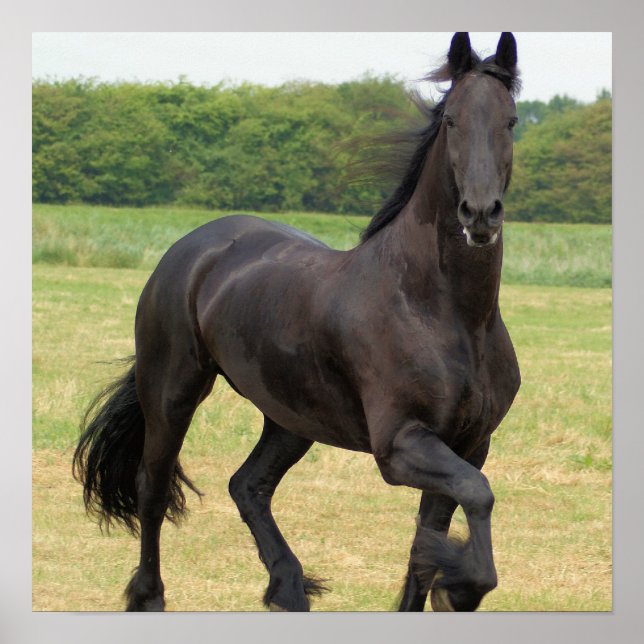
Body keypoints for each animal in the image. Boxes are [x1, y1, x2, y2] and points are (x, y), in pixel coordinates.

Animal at [73, 32, 521, 612]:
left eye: (511, 120)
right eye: (451, 120)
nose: (480, 214)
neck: (447, 315)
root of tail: (192, 247)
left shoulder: (470, 445)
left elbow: (426, 547)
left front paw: (452, 583)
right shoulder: (400, 445)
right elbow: (477, 496)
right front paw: (463, 586)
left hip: (289, 417)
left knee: (248, 486)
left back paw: (288, 586)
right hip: (172, 390)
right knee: (153, 487)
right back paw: (149, 596)